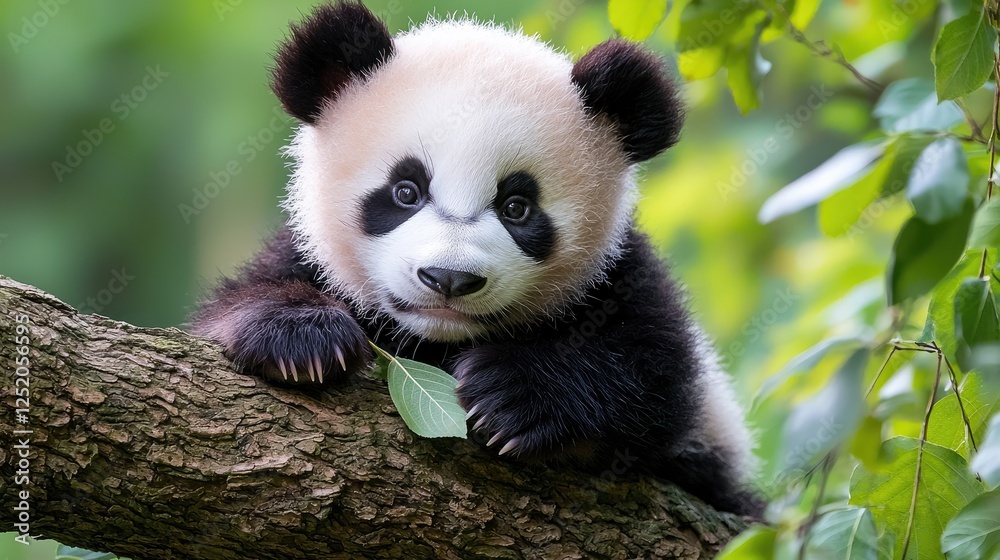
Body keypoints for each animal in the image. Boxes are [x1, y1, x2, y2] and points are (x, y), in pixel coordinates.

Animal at [193, 1, 761, 517]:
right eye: (406, 191)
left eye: (517, 207)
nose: (449, 278)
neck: (440, 340)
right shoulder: (305, 255)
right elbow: (243, 302)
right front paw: (302, 338)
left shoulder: (621, 277)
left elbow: (654, 373)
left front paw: (513, 395)